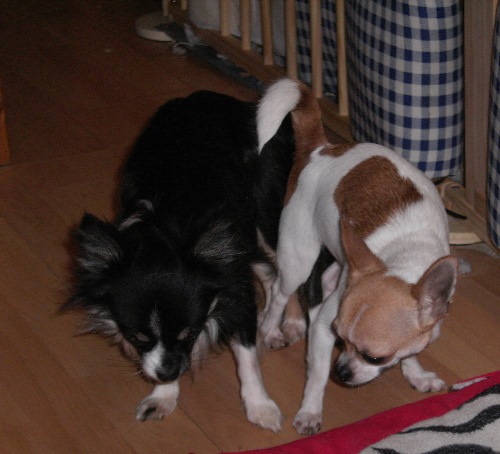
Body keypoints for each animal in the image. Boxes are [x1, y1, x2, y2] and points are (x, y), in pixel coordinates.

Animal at [66, 90, 297, 432]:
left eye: (191, 333)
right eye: (136, 337)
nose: (169, 373)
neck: (166, 226)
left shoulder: (235, 287)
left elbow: (246, 356)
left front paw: (260, 406)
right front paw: (163, 394)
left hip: (266, 217)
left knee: (290, 275)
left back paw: (284, 326)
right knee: (270, 275)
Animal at [257, 79, 458, 435]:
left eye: (376, 358)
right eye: (339, 337)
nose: (342, 371)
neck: (404, 261)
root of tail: (323, 148)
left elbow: (410, 351)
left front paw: (416, 374)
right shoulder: (324, 325)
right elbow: (316, 376)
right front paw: (310, 411)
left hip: (341, 256)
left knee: (322, 279)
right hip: (298, 256)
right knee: (281, 293)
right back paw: (271, 329)